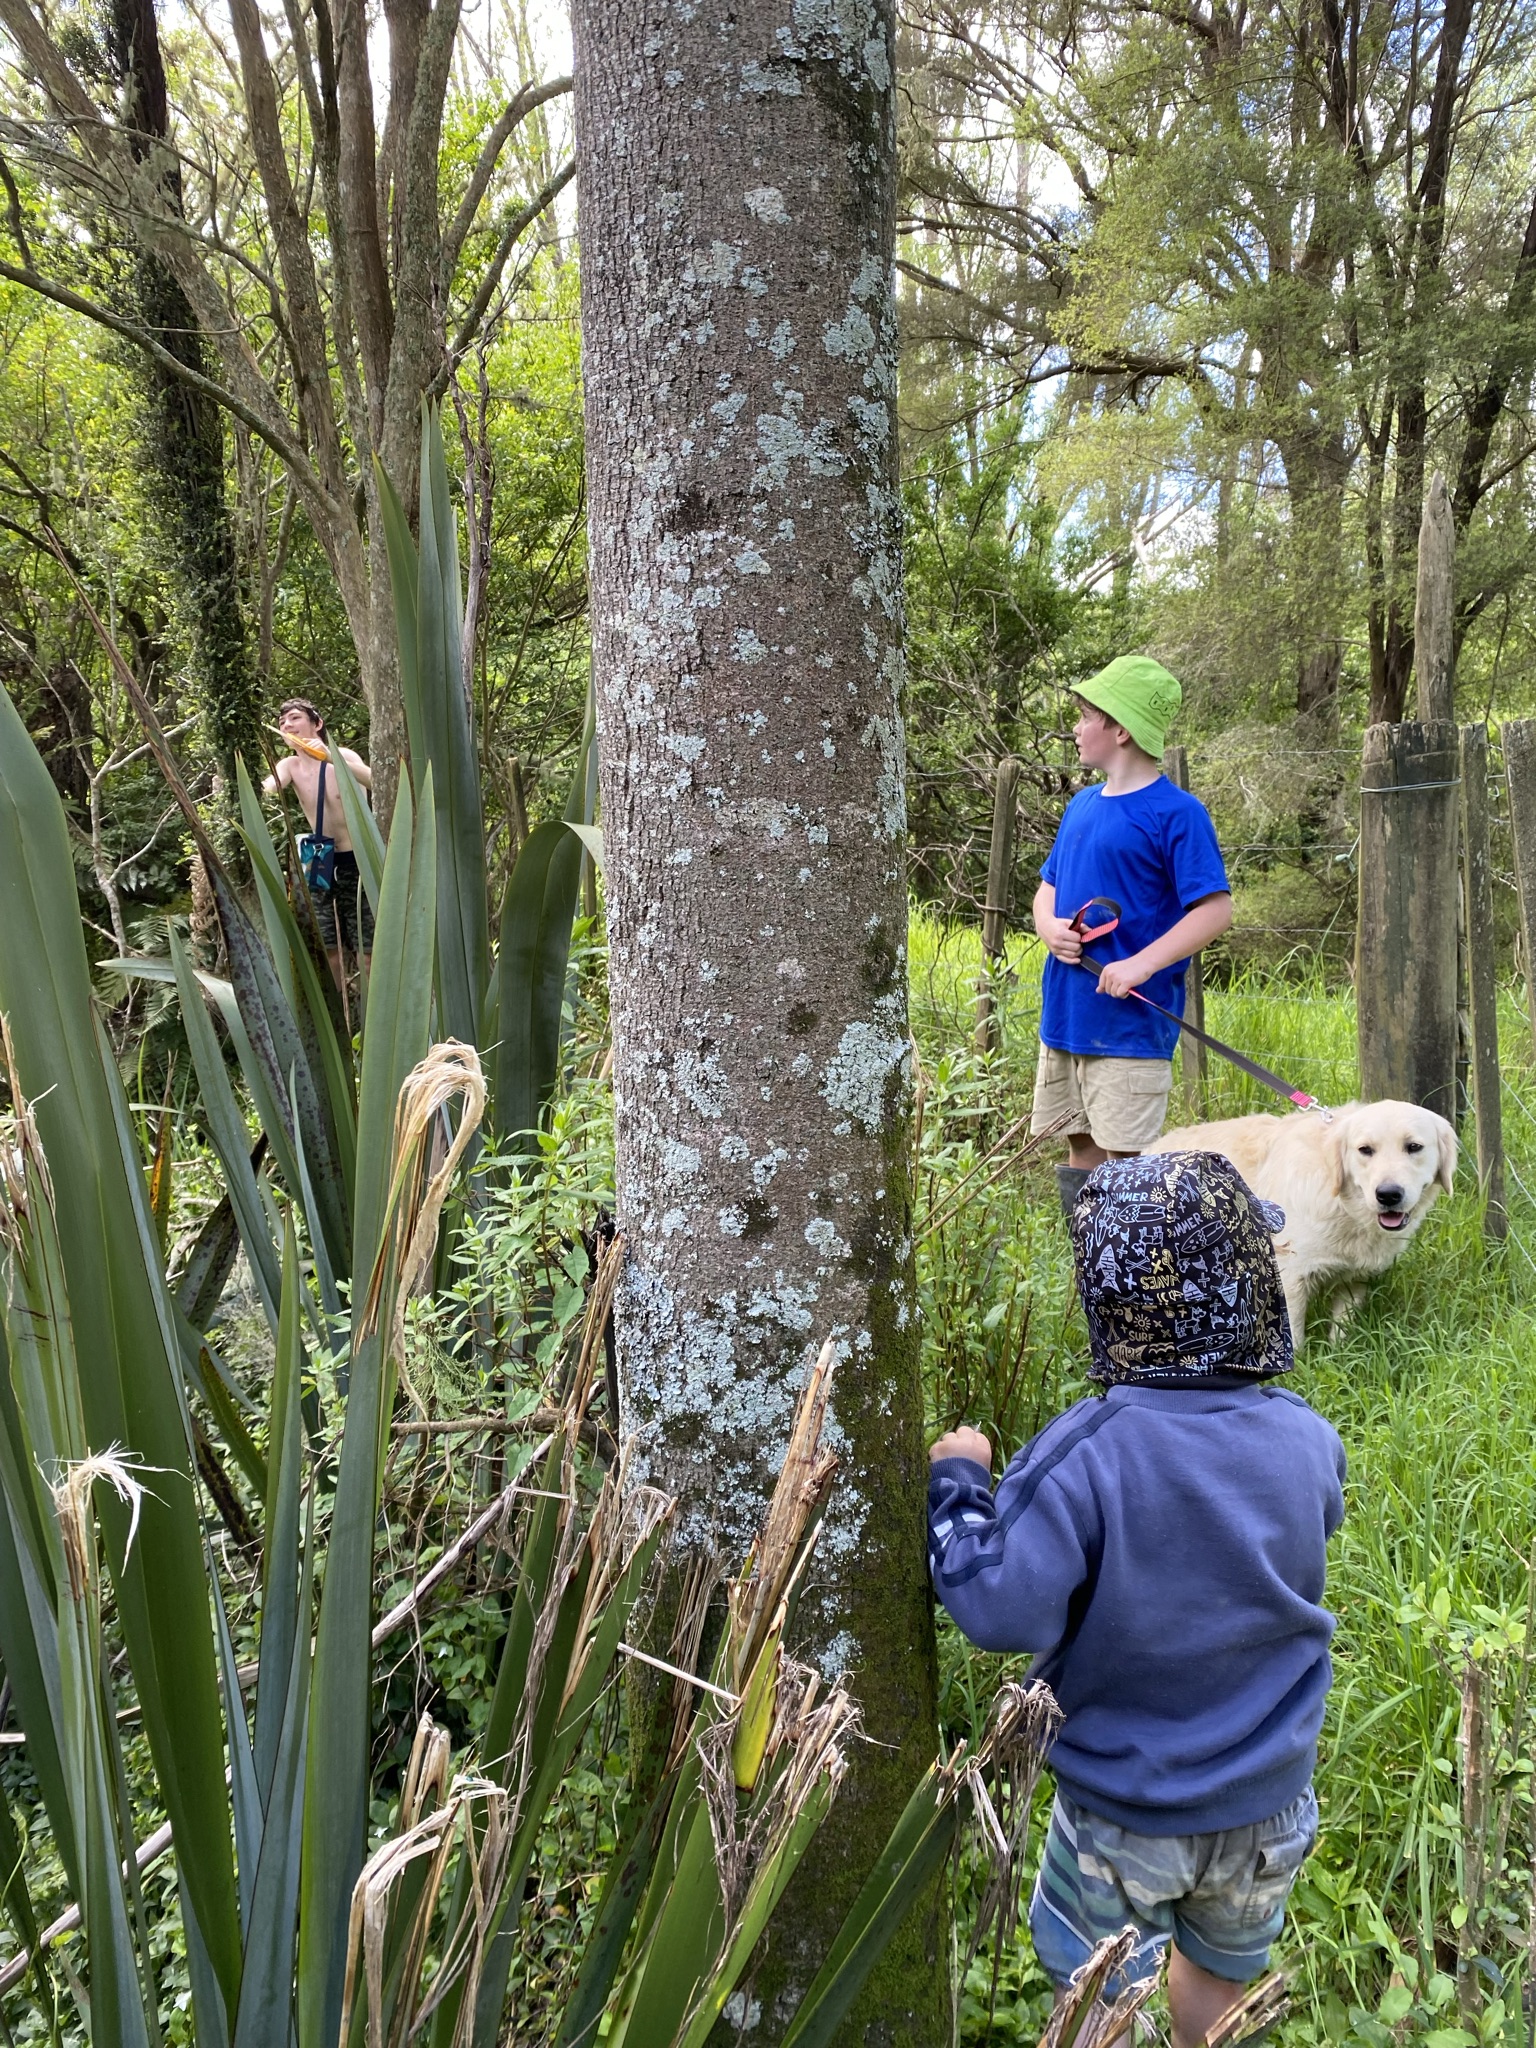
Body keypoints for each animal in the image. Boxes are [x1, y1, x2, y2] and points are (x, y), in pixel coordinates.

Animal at [1146, 1105, 1458, 1343]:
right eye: (1365, 1150)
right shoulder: (1290, 1274)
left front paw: (1338, 1355)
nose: (1388, 1194)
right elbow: (1293, 1336)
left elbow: (1342, 1327)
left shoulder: (1354, 1277)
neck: (1343, 1205)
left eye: (1414, 1147)